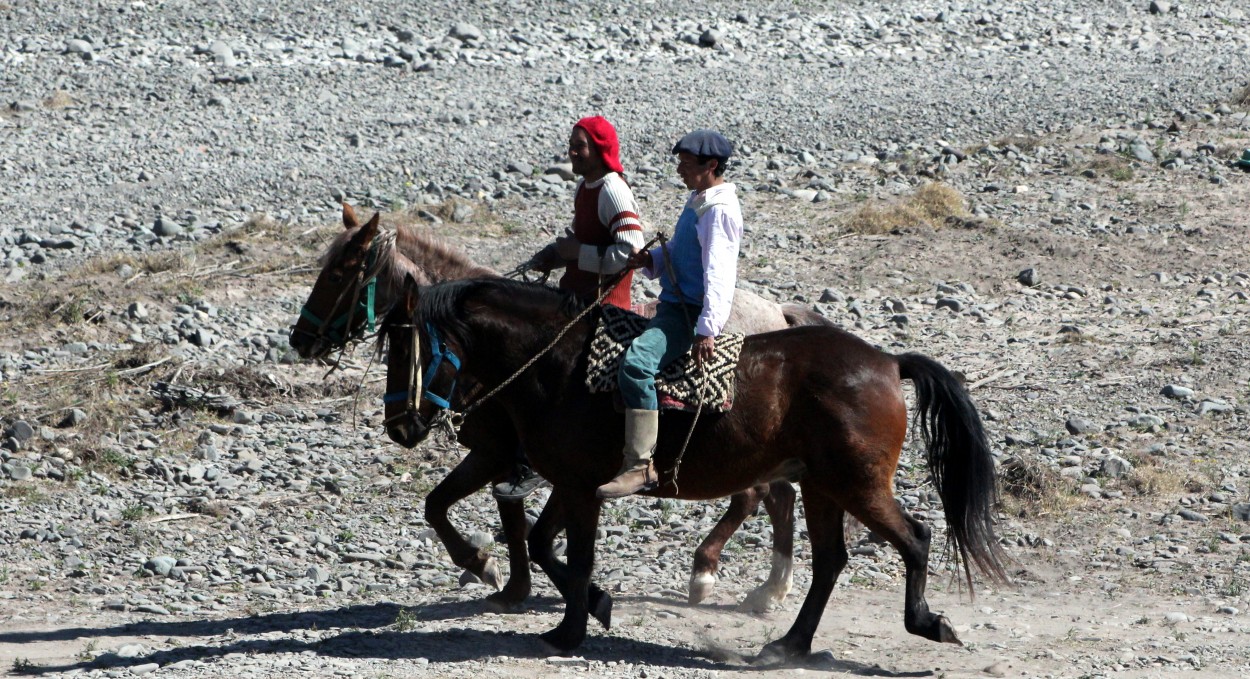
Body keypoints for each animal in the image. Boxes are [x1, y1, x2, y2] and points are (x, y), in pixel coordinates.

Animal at [288, 206, 825, 610]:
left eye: (337, 274)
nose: (300, 339)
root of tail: (778, 313)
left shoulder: (500, 454)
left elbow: (459, 509)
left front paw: (489, 569)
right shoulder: (508, 460)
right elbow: (475, 511)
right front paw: (511, 584)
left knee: (757, 495)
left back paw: (707, 574)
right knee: (777, 496)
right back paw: (769, 589)